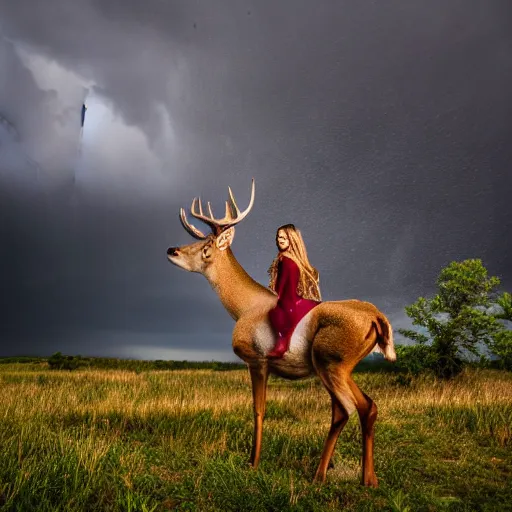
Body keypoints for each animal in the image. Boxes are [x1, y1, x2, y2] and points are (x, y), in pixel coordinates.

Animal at [166, 180, 398, 488]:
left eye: (206, 247)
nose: (172, 250)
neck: (246, 307)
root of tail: (377, 317)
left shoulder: (257, 359)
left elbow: (258, 409)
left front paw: (252, 463)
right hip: (340, 367)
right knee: (360, 407)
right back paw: (352, 476)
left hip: (331, 362)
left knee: (351, 408)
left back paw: (335, 476)